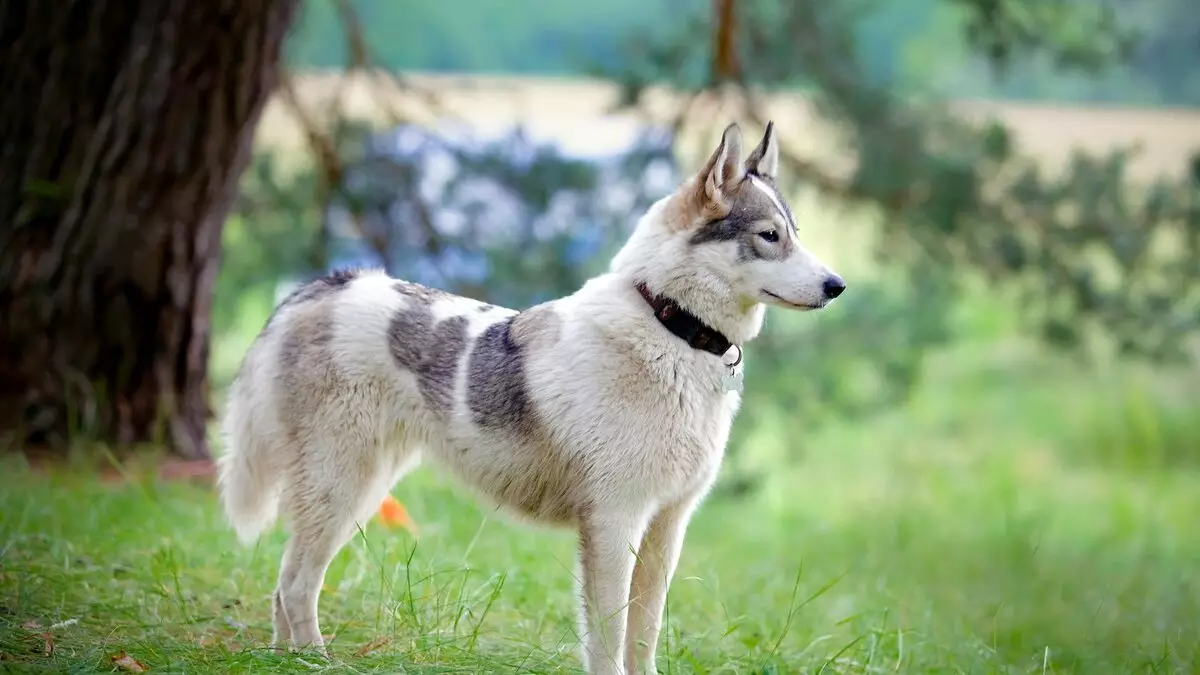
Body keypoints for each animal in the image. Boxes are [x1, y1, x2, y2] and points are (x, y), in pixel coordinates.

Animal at [220, 120, 849, 672]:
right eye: (769, 236)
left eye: (795, 231)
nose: (837, 286)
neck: (671, 325)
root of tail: (325, 285)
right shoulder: (614, 524)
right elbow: (608, 637)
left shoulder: (666, 528)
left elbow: (643, 636)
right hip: (341, 488)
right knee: (296, 584)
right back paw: (312, 660)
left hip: (360, 492)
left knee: (283, 584)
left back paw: (285, 660)